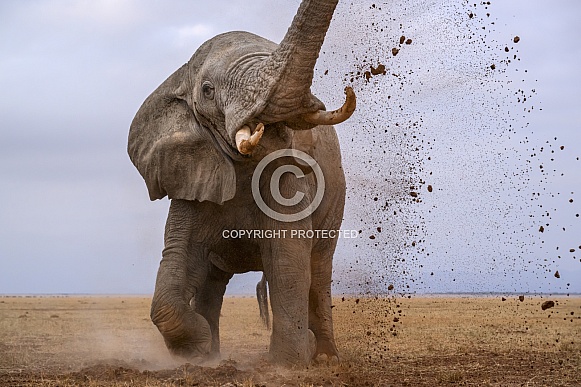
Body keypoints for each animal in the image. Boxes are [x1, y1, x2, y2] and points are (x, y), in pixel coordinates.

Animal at [127, 0, 354, 366]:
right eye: (207, 90)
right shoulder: (191, 181)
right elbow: (177, 261)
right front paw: (197, 350)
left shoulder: (289, 184)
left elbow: (287, 260)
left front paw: (289, 362)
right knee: (212, 283)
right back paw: (213, 354)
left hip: (336, 202)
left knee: (319, 270)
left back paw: (326, 358)